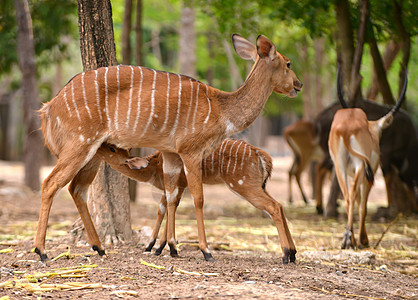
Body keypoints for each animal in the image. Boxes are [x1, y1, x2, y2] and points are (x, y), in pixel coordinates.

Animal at [96, 138, 296, 262]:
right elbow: (164, 208)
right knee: (280, 205)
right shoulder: (177, 186)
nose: (99, 145)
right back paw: (293, 253)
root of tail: (261, 155)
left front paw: (161, 247)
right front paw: (156, 247)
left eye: (111, 148)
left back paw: (285, 255)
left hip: (243, 185)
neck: (154, 166)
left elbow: (167, 207)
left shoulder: (176, 183)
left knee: (273, 207)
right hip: (259, 185)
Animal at [328, 68, 406, 248]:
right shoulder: (369, 173)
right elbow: (362, 204)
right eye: (379, 133)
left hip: (340, 166)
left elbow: (356, 200)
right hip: (361, 167)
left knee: (348, 196)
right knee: (355, 196)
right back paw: (351, 239)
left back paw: (348, 238)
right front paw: (364, 239)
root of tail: (346, 128)